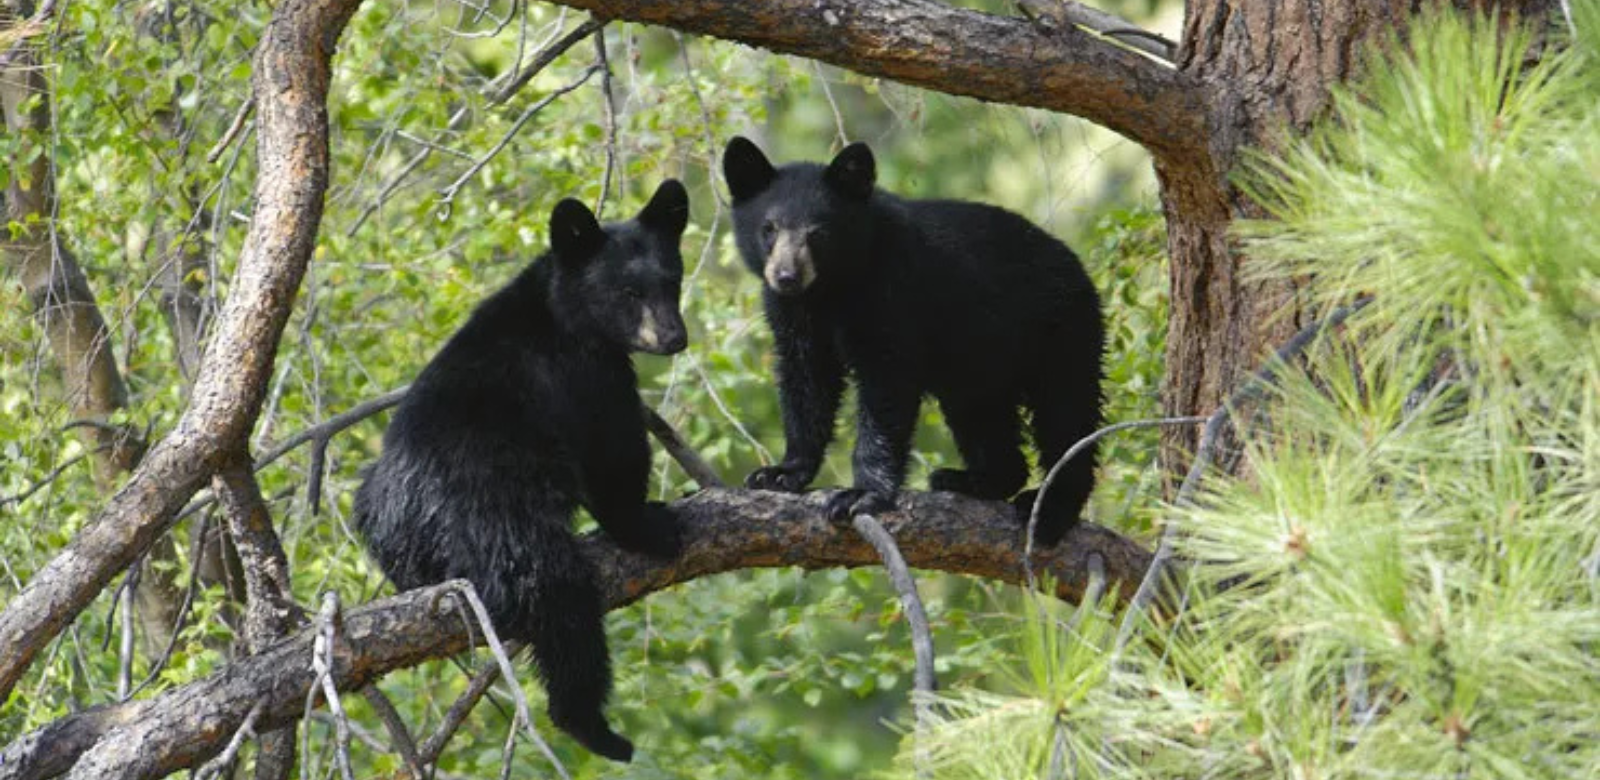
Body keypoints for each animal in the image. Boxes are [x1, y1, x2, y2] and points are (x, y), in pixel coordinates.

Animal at [351, 180, 691, 762]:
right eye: (628, 292)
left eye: (673, 280)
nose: (674, 337)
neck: (561, 311)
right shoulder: (585, 375)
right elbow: (613, 452)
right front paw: (649, 524)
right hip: (499, 515)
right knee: (559, 594)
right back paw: (593, 726)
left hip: (376, 509)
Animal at [722, 136, 1104, 546]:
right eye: (768, 228)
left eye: (817, 233)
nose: (786, 276)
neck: (831, 289)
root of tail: (1077, 266)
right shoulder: (793, 316)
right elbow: (806, 383)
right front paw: (781, 472)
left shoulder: (893, 292)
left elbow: (885, 387)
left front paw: (861, 493)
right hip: (978, 363)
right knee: (982, 413)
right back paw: (975, 479)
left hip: (1061, 331)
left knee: (1066, 414)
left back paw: (1049, 509)